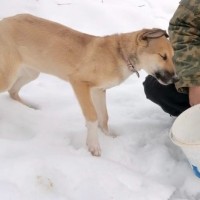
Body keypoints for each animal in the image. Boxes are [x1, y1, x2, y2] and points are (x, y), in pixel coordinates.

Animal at [0, 14, 177, 156]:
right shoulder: (79, 83)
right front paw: (93, 146)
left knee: (13, 92)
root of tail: (5, 20)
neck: (120, 54)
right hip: (9, 75)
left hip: (31, 72)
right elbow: (92, 117)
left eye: (172, 57)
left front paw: (108, 137)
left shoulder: (98, 90)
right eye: (163, 56)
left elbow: (104, 117)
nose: (176, 79)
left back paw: (28, 108)